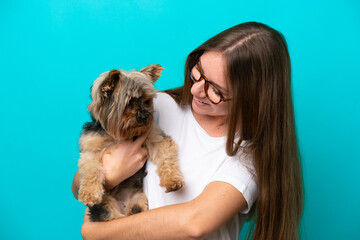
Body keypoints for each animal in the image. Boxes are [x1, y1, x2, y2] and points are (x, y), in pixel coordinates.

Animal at [77, 64, 184, 221]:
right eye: (129, 103)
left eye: (146, 100)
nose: (145, 116)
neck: (120, 135)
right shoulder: (91, 150)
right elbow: (91, 169)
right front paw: (89, 194)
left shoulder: (154, 137)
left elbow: (165, 158)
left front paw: (172, 180)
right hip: (105, 205)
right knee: (113, 216)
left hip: (139, 195)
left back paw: (135, 209)